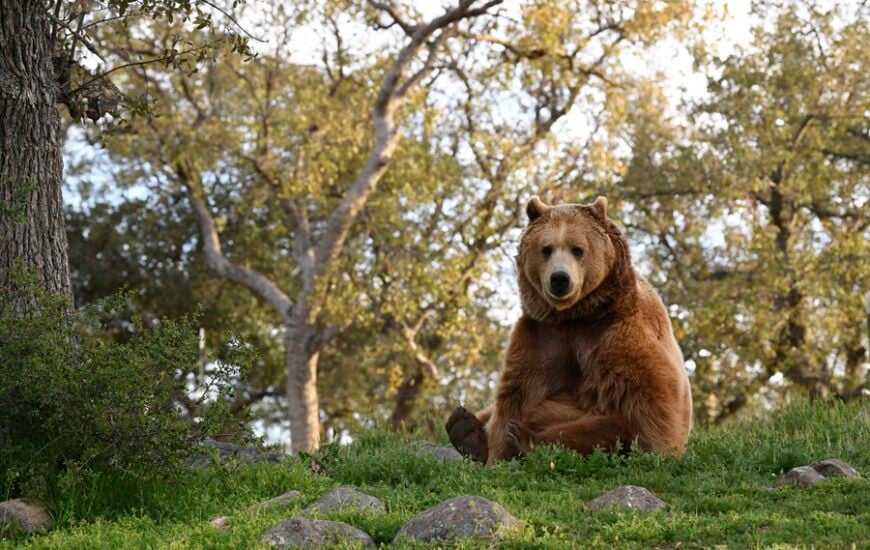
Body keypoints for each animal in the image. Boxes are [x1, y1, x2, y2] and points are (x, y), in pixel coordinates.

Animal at [446, 195, 692, 465]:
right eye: (547, 248)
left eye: (577, 249)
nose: (559, 279)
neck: (576, 314)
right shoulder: (543, 338)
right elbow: (516, 395)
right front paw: (498, 456)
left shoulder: (616, 332)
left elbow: (651, 396)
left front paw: (658, 452)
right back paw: (464, 428)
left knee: (609, 427)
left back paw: (525, 439)